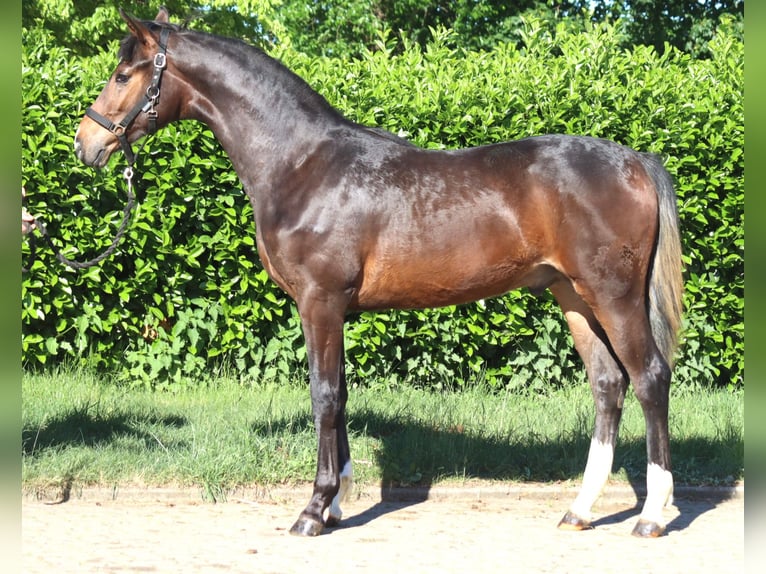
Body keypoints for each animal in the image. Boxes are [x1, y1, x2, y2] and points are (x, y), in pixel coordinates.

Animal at [74, 8, 683, 538]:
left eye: (123, 74)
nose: (87, 142)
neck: (301, 164)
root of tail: (636, 161)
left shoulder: (320, 301)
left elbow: (324, 395)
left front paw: (313, 511)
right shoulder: (332, 309)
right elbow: (340, 394)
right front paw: (336, 504)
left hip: (613, 295)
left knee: (650, 378)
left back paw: (651, 515)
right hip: (573, 297)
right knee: (607, 385)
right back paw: (579, 510)